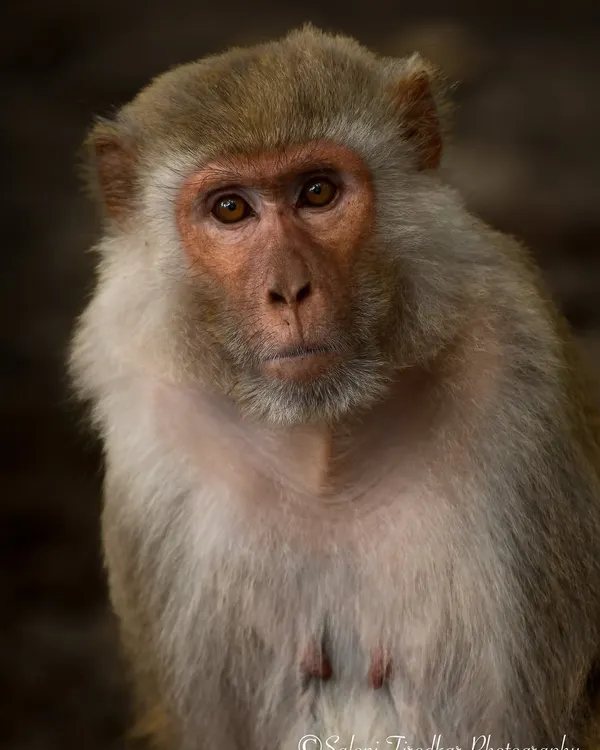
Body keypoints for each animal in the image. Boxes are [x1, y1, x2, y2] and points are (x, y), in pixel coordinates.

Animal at [69, 24, 600, 750]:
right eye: (230, 208)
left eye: (317, 192)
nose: (289, 289)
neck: (324, 444)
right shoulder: (156, 443)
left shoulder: (517, 379)